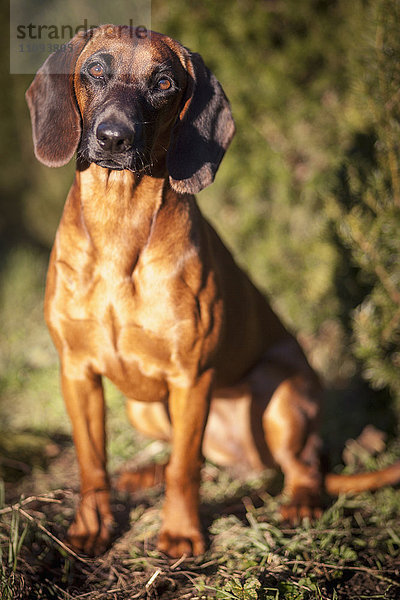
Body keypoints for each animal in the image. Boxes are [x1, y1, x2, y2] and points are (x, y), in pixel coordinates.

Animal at [25, 23, 400, 556]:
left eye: (163, 83)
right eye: (96, 69)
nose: (114, 137)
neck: (120, 226)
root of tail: (248, 461)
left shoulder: (191, 377)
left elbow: (186, 468)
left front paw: (181, 533)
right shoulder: (77, 373)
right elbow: (91, 462)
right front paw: (92, 526)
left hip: (281, 393)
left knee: (299, 465)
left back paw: (301, 502)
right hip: (144, 408)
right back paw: (141, 474)